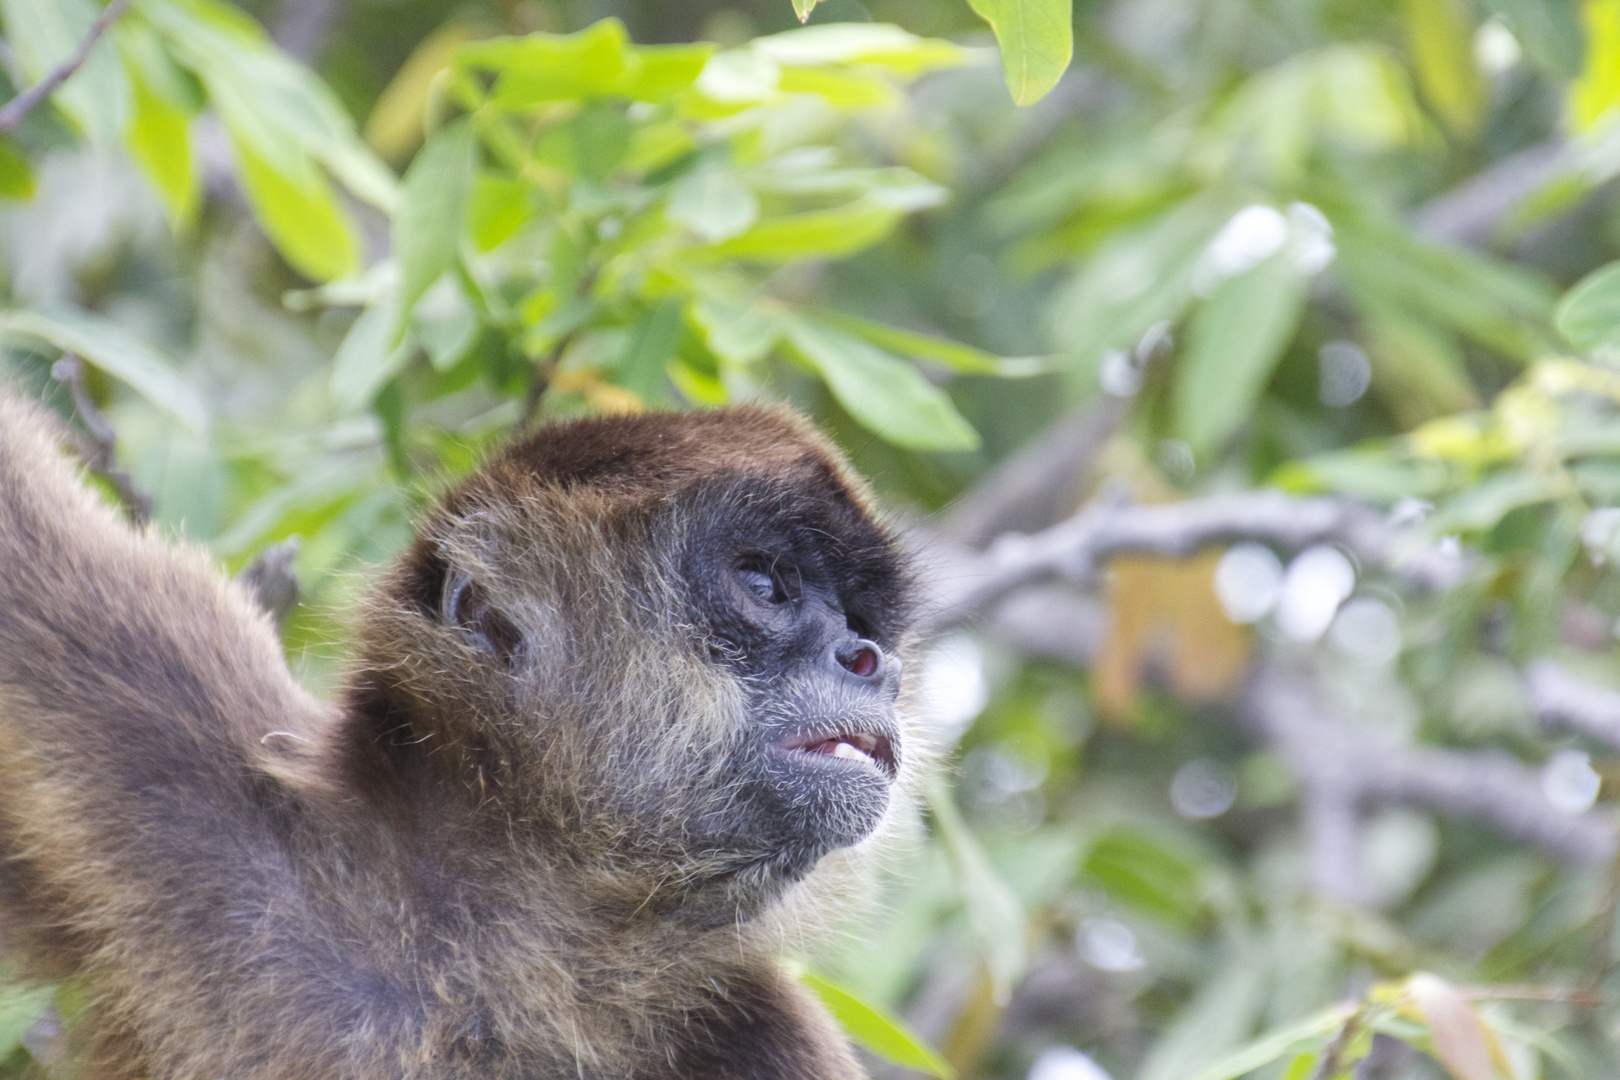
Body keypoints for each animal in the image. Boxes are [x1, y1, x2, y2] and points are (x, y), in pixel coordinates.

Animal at [0, 393, 920, 1080]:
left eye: (861, 621)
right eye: (765, 583)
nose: (871, 661)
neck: (479, 961)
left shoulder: (755, 1030)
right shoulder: (188, 769)